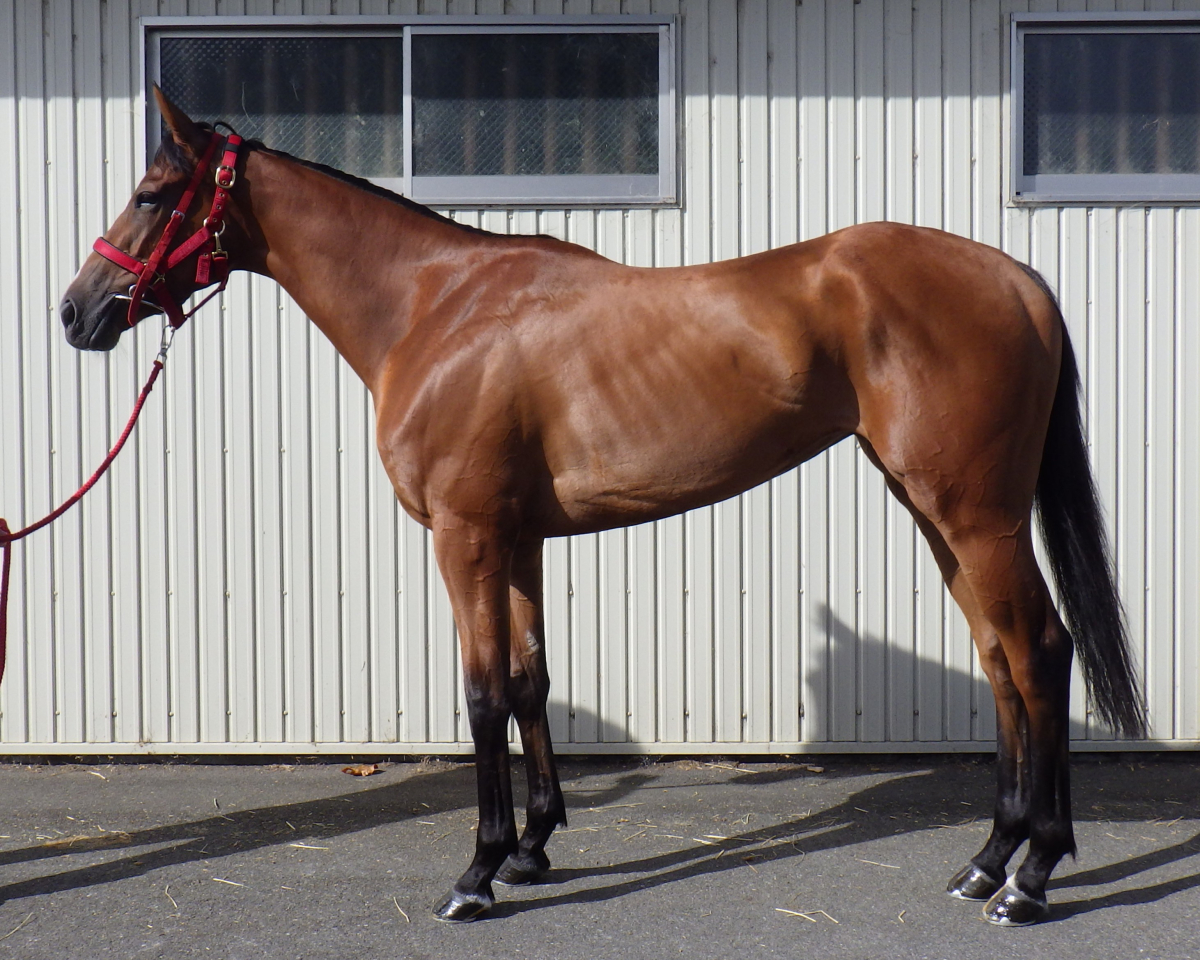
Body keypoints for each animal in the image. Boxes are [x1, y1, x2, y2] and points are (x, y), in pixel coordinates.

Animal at [58, 88, 1145, 926]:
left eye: (153, 194)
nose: (77, 311)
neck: (434, 309)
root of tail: (1019, 279)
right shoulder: (519, 540)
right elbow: (530, 681)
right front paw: (534, 846)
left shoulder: (467, 539)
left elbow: (482, 694)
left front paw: (478, 872)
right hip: (938, 514)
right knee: (999, 660)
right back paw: (986, 860)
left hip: (977, 518)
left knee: (1040, 652)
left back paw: (1033, 875)